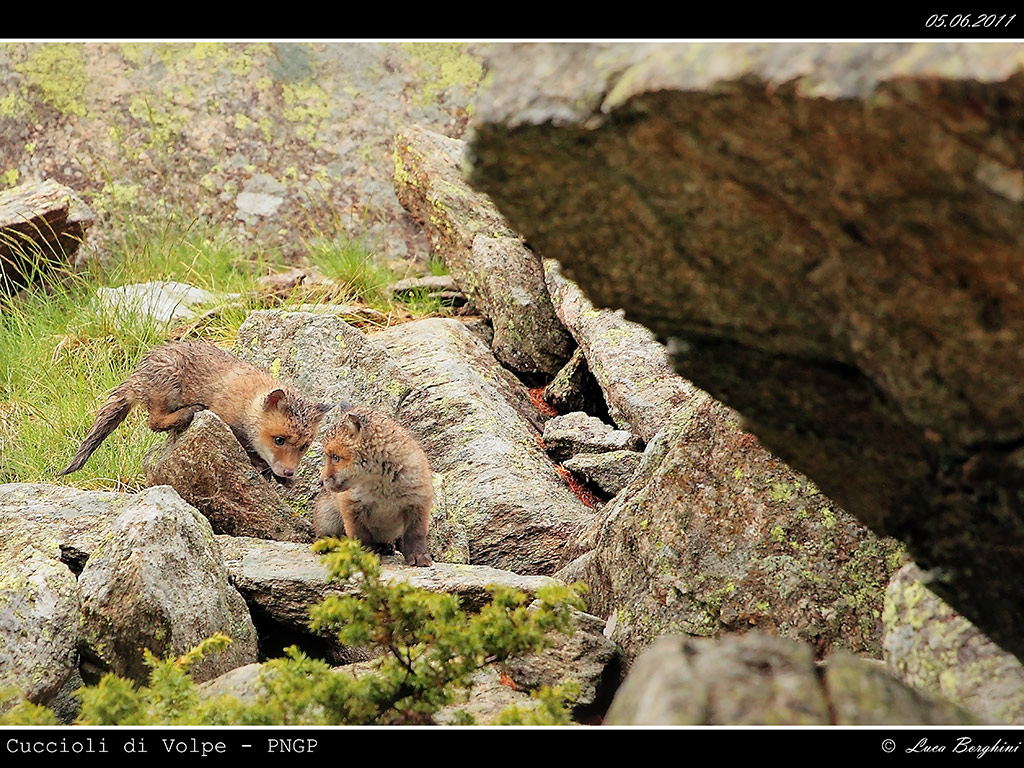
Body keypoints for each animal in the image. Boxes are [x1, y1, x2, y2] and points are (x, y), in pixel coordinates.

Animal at [59, 340, 333, 481]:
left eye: (304, 446)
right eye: (279, 440)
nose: (289, 471)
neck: (246, 401)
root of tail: (135, 376)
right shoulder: (226, 418)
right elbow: (247, 449)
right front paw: (261, 467)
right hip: (168, 384)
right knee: (154, 422)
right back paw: (188, 411)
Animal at [313, 407, 434, 567]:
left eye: (336, 458)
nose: (320, 482)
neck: (384, 489)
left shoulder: (419, 501)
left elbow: (416, 534)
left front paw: (419, 556)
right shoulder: (352, 506)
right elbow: (361, 537)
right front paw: (366, 556)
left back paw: (385, 547)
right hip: (328, 518)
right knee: (325, 534)